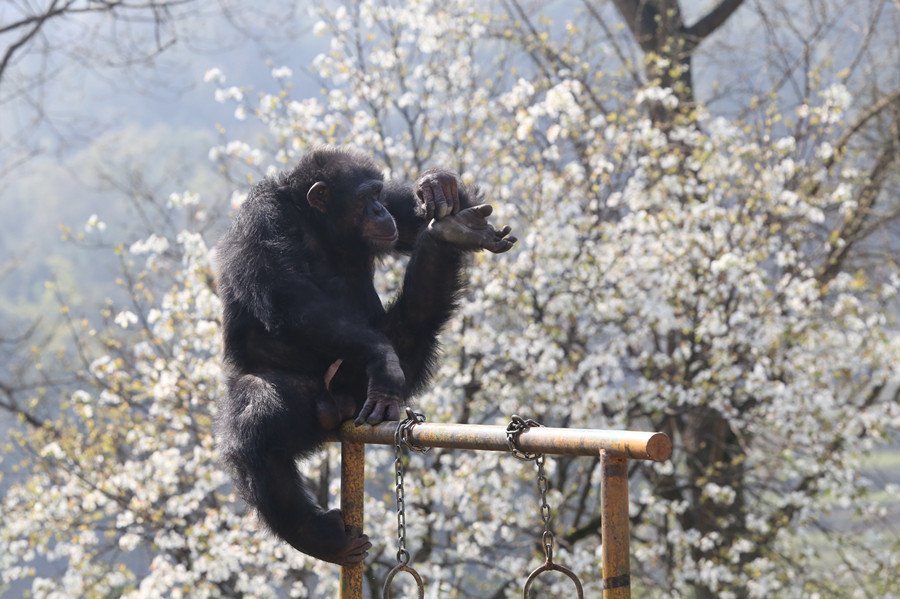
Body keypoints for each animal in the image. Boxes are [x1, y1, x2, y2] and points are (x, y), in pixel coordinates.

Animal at [214, 146, 516, 568]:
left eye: (377, 193)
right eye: (363, 198)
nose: (378, 210)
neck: (317, 223)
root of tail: (337, 405)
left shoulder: (393, 211)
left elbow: (411, 218)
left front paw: (437, 185)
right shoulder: (261, 220)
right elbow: (286, 293)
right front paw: (382, 358)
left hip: (371, 388)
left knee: (418, 318)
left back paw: (450, 233)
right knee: (256, 422)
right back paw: (315, 535)